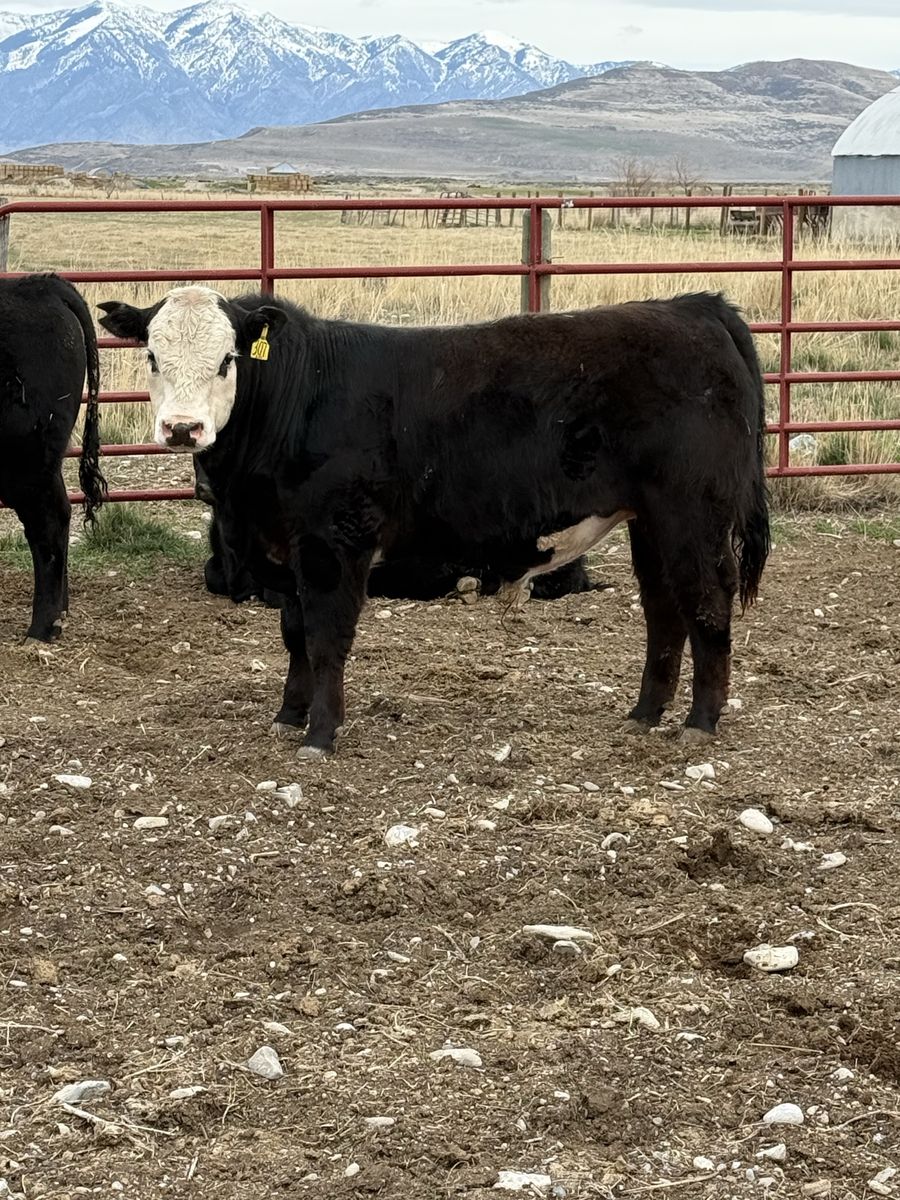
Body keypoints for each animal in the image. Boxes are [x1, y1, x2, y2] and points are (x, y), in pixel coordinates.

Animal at [0, 274, 106, 641]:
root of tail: (43, 284)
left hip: (27, 460)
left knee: (48, 524)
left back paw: (42, 626)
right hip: (46, 460)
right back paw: (60, 611)